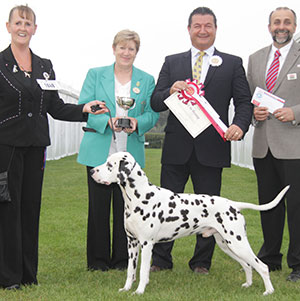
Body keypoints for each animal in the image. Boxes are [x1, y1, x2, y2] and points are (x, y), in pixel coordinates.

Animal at [90, 151, 290, 294]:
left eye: (109, 165)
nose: (92, 171)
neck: (140, 197)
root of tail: (233, 204)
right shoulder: (131, 243)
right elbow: (130, 271)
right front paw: (126, 289)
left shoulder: (146, 244)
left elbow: (142, 271)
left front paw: (139, 291)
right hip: (227, 245)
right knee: (248, 265)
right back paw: (248, 285)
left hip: (238, 243)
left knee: (262, 266)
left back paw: (269, 291)